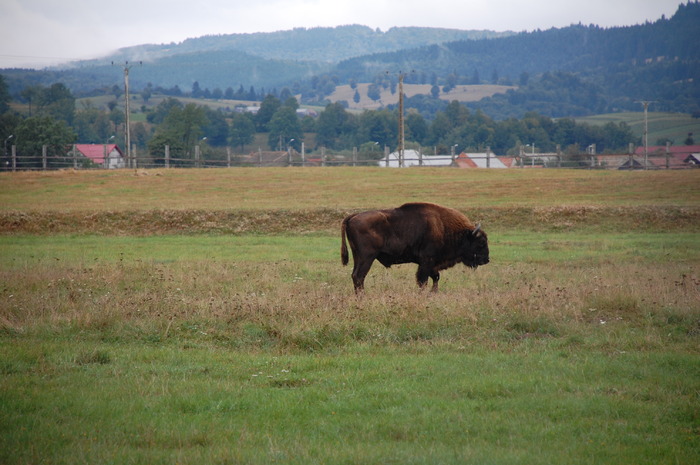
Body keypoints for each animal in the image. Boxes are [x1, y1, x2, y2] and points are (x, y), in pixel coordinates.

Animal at [342, 202, 490, 292]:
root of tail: (353, 216)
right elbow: (423, 280)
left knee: (355, 276)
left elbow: (435, 277)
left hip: (357, 256)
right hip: (367, 257)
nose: (486, 260)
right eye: (481, 242)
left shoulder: (431, 264)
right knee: (359, 276)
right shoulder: (427, 260)